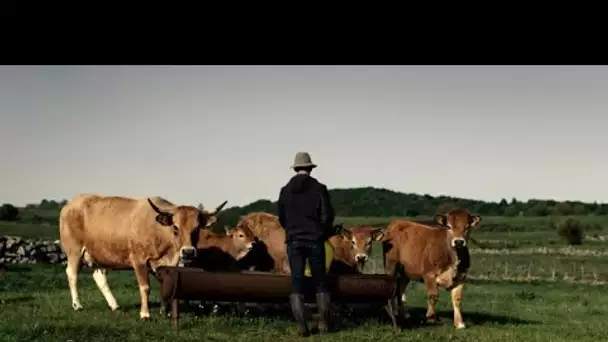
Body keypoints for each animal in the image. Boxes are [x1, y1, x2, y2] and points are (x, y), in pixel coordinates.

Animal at [58, 194, 228, 320]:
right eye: (175, 227)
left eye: (197, 229)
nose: (188, 252)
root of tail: (72, 203)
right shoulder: (139, 260)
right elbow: (145, 287)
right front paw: (145, 314)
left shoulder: (165, 265)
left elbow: (165, 286)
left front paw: (165, 312)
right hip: (74, 251)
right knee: (72, 274)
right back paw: (77, 305)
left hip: (98, 254)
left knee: (99, 278)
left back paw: (114, 305)